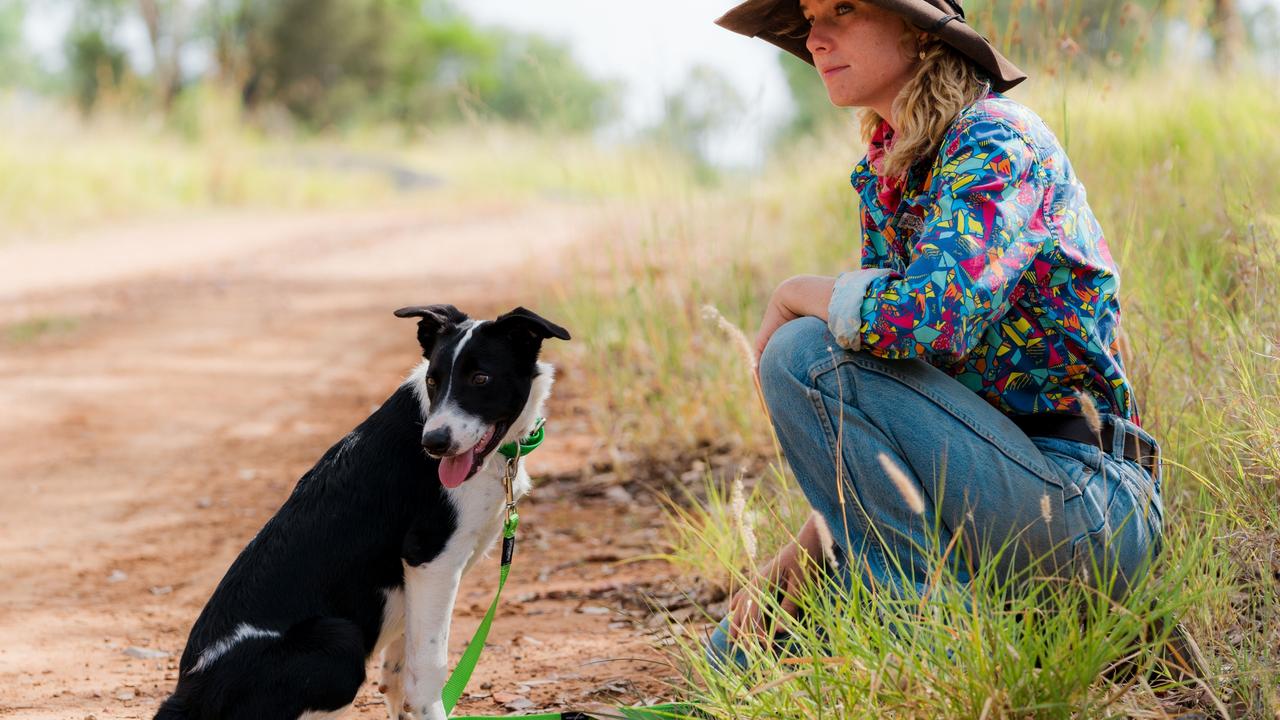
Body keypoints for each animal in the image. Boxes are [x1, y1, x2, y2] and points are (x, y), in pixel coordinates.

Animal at [154, 303, 570, 717]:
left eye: (481, 378)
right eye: (433, 382)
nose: (434, 443)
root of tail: (189, 694)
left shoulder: (418, 585)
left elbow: (399, 678)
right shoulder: (430, 559)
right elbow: (427, 676)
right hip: (339, 640)